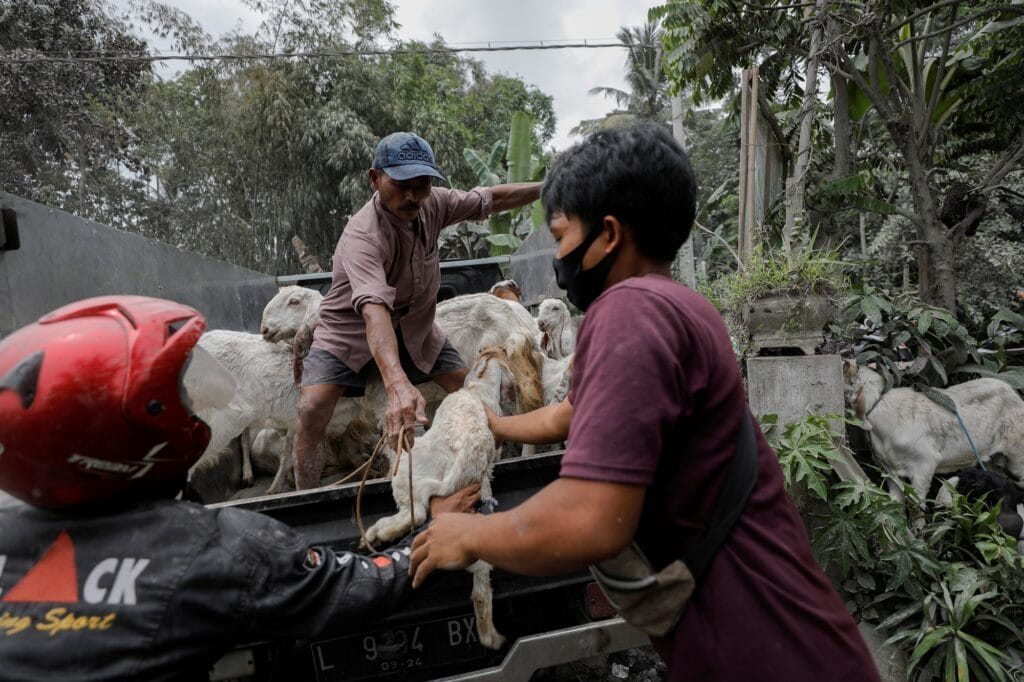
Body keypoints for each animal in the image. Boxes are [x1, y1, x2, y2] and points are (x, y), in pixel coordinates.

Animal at [364, 333, 536, 647]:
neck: (477, 385)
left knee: (415, 513)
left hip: (405, 473)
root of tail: (465, 453)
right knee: (480, 584)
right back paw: (492, 637)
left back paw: (376, 533)